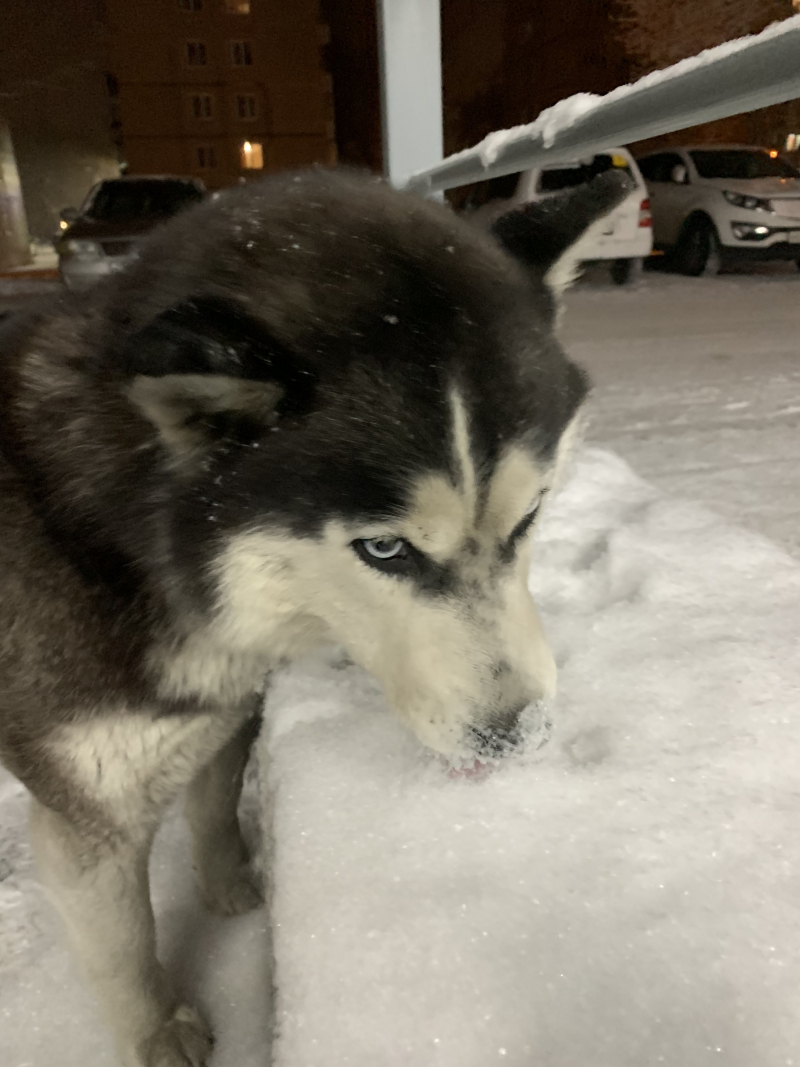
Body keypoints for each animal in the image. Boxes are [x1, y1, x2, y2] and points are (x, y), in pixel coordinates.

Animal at [0, 170, 631, 1062]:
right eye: (384, 548)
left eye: (531, 516)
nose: (518, 735)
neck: (138, 548)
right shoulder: (88, 807)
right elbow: (123, 944)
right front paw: (157, 1029)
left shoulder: (225, 716)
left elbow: (213, 805)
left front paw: (231, 884)